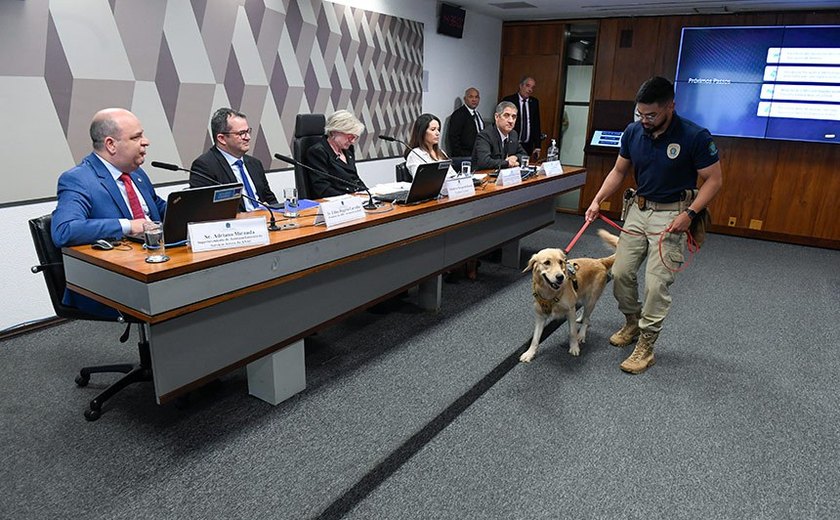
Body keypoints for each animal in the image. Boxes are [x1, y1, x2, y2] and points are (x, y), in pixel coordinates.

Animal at [520, 230, 620, 364]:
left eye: (561, 262)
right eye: (547, 263)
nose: (560, 277)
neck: (550, 293)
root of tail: (599, 261)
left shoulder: (570, 310)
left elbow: (572, 332)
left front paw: (574, 347)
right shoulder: (540, 316)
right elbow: (535, 338)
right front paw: (530, 353)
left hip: (591, 300)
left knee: (587, 319)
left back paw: (581, 335)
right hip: (582, 297)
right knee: (586, 316)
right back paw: (581, 318)